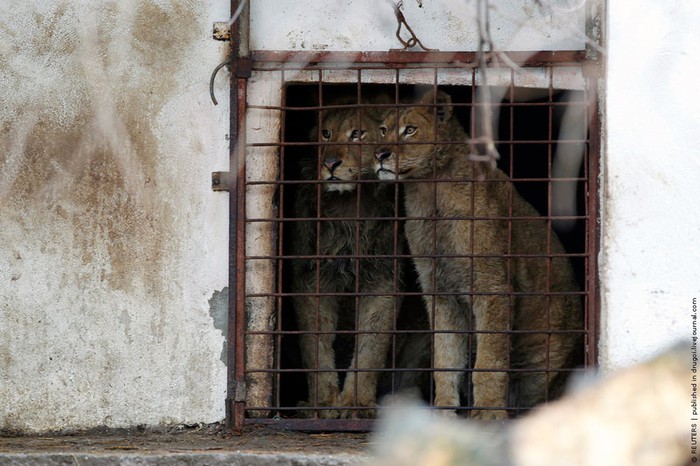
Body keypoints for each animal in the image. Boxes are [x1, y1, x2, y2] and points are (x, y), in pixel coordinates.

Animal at [288, 94, 402, 418]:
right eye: (326, 134)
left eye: (357, 134)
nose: (329, 163)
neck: (352, 207)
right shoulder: (311, 278)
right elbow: (315, 343)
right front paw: (325, 403)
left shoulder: (383, 279)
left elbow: (371, 344)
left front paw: (356, 404)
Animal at [374, 89, 584, 420]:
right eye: (384, 130)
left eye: (410, 130)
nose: (379, 154)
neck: (428, 195)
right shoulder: (440, 291)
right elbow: (446, 357)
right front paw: (444, 410)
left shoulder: (493, 288)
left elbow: (489, 360)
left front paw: (487, 414)